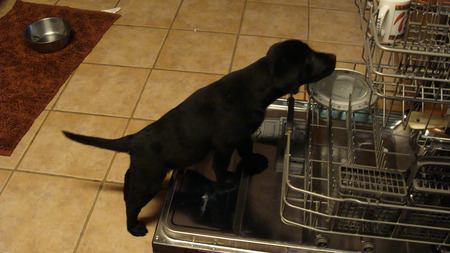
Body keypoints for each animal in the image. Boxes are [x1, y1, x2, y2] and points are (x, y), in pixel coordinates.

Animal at [65, 39, 336, 235]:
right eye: (310, 57)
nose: (334, 56)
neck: (255, 86)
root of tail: (134, 138)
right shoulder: (224, 142)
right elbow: (221, 165)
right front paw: (226, 180)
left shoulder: (242, 135)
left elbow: (247, 149)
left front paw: (254, 162)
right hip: (151, 178)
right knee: (133, 203)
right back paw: (134, 227)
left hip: (144, 171)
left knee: (129, 177)